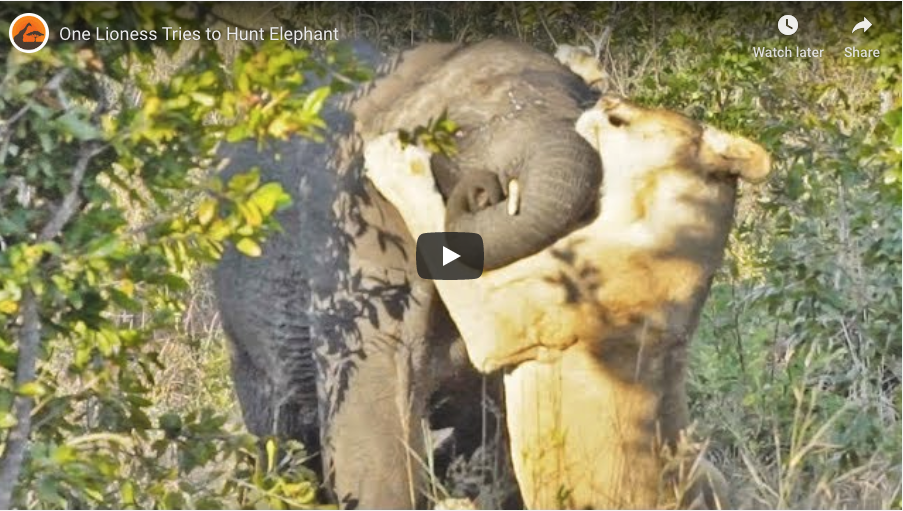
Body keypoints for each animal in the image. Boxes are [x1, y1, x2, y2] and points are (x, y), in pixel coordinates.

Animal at [363, 95, 772, 508]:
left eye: (621, 119)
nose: (606, 99)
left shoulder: (497, 322)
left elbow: (430, 216)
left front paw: (393, 155)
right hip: (712, 472)